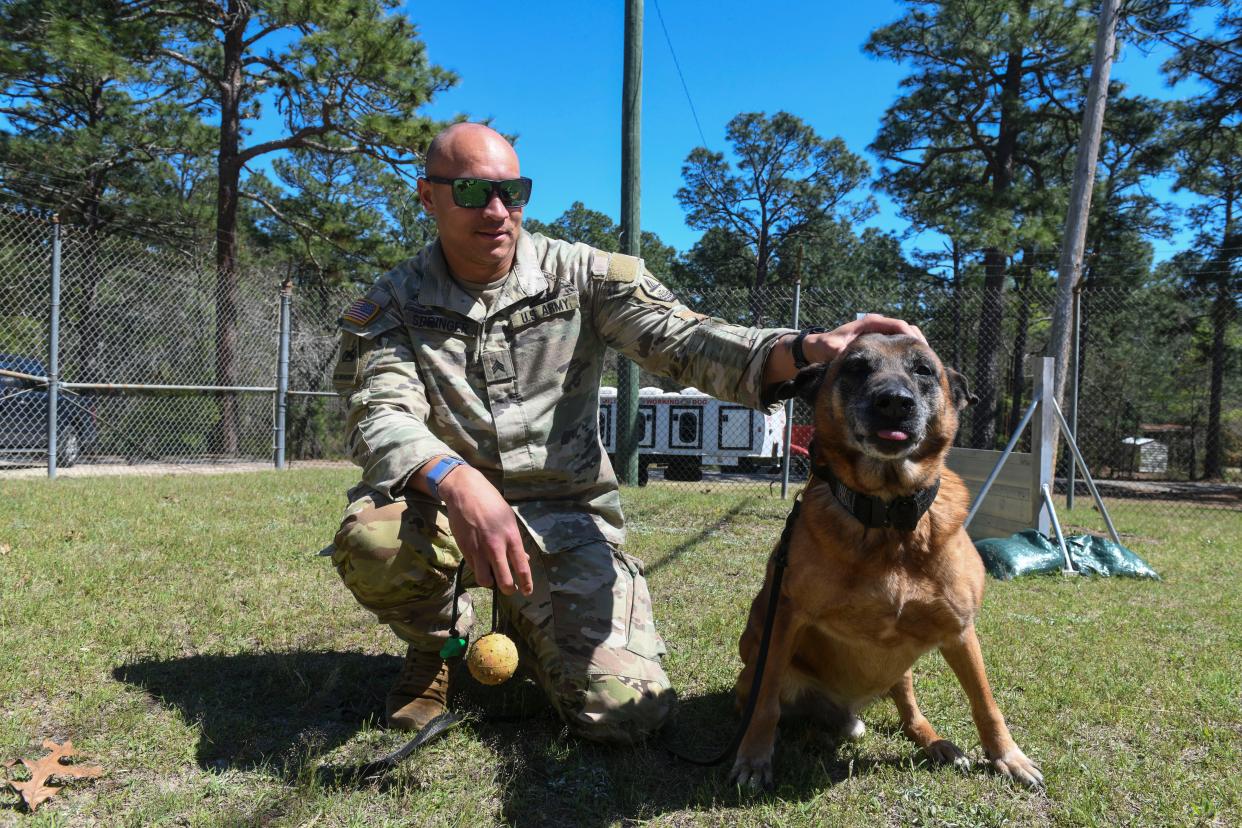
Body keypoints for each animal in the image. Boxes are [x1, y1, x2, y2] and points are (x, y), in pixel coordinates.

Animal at [730, 335, 1043, 789]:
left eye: (924, 370)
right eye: (856, 367)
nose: (894, 402)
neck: (889, 519)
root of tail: (848, 708)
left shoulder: (960, 630)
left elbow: (985, 701)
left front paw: (1008, 756)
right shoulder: (786, 618)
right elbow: (766, 703)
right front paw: (754, 757)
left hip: (902, 669)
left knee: (909, 711)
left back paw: (936, 743)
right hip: (759, 662)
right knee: (768, 703)